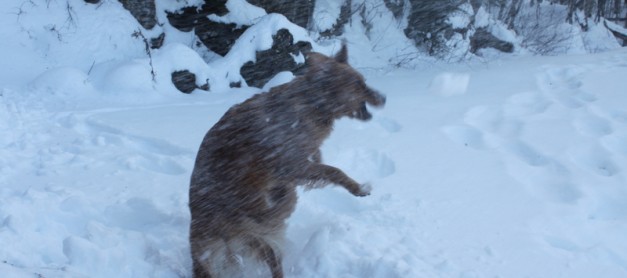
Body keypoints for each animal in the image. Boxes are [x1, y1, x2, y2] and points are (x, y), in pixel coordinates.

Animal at [190, 44, 388, 276]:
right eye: (359, 84)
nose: (384, 97)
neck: (312, 105)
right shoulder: (292, 166)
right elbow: (333, 170)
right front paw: (358, 188)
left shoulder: (298, 169)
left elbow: (321, 165)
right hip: (249, 232)